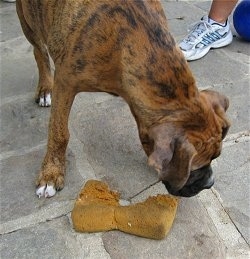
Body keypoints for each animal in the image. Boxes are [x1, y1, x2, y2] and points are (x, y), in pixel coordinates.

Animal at [16, 0, 230, 199]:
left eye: (215, 157)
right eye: (193, 168)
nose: (210, 183)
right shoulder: (65, 83)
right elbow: (59, 133)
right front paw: (51, 173)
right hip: (27, 22)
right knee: (39, 51)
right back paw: (45, 87)